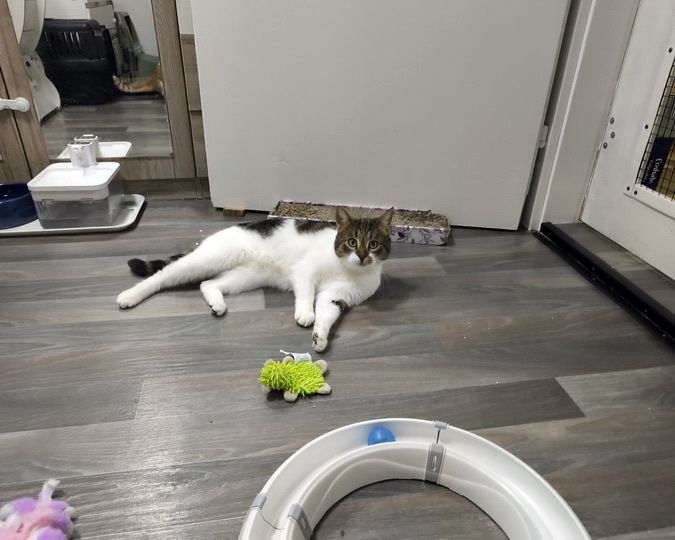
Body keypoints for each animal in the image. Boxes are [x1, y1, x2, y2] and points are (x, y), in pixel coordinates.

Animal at [116, 207, 394, 352]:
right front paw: (305, 314)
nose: (361, 256)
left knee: (208, 284)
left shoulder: (336, 296)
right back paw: (129, 296)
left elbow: (327, 313)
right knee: (164, 275)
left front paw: (320, 336)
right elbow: (306, 294)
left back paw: (217, 304)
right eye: (352, 242)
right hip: (210, 259)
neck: (347, 269)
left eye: (373, 244)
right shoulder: (304, 271)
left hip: (245, 277)